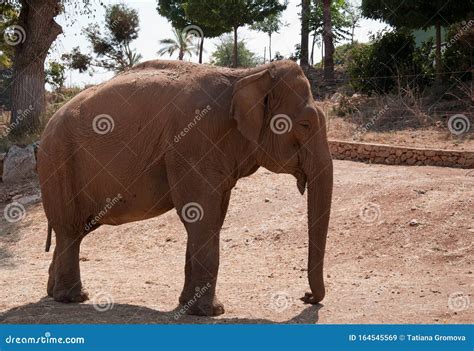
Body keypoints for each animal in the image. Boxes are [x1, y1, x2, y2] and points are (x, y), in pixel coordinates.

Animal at [37, 59, 334, 318]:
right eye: (305, 124)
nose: (305, 296)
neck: (248, 74)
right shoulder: (192, 144)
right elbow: (201, 216)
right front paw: (210, 312)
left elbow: (211, 218)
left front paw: (189, 306)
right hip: (59, 163)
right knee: (70, 229)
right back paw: (72, 297)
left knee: (77, 230)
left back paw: (53, 293)